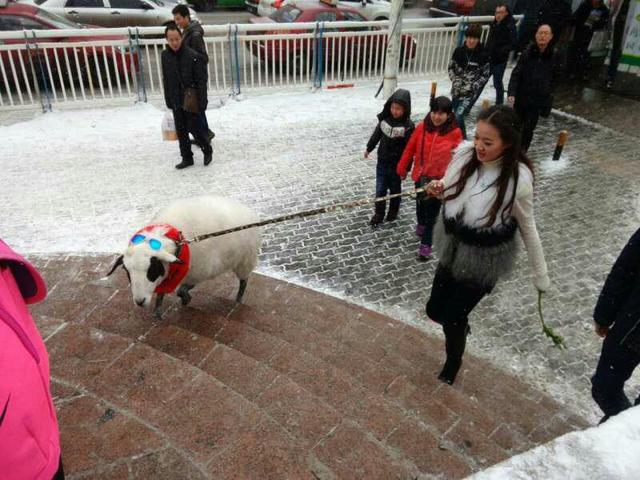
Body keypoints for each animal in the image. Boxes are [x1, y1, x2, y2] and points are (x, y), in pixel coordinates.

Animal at [109, 193, 262, 316]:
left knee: (244, 281)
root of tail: (247, 210)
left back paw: (238, 300)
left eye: (152, 269)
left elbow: (181, 290)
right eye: (127, 271)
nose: (140, 301)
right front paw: (158, 312)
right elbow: (163, 292)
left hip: (246, 259)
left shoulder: (200, 272)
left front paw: (186, 299)